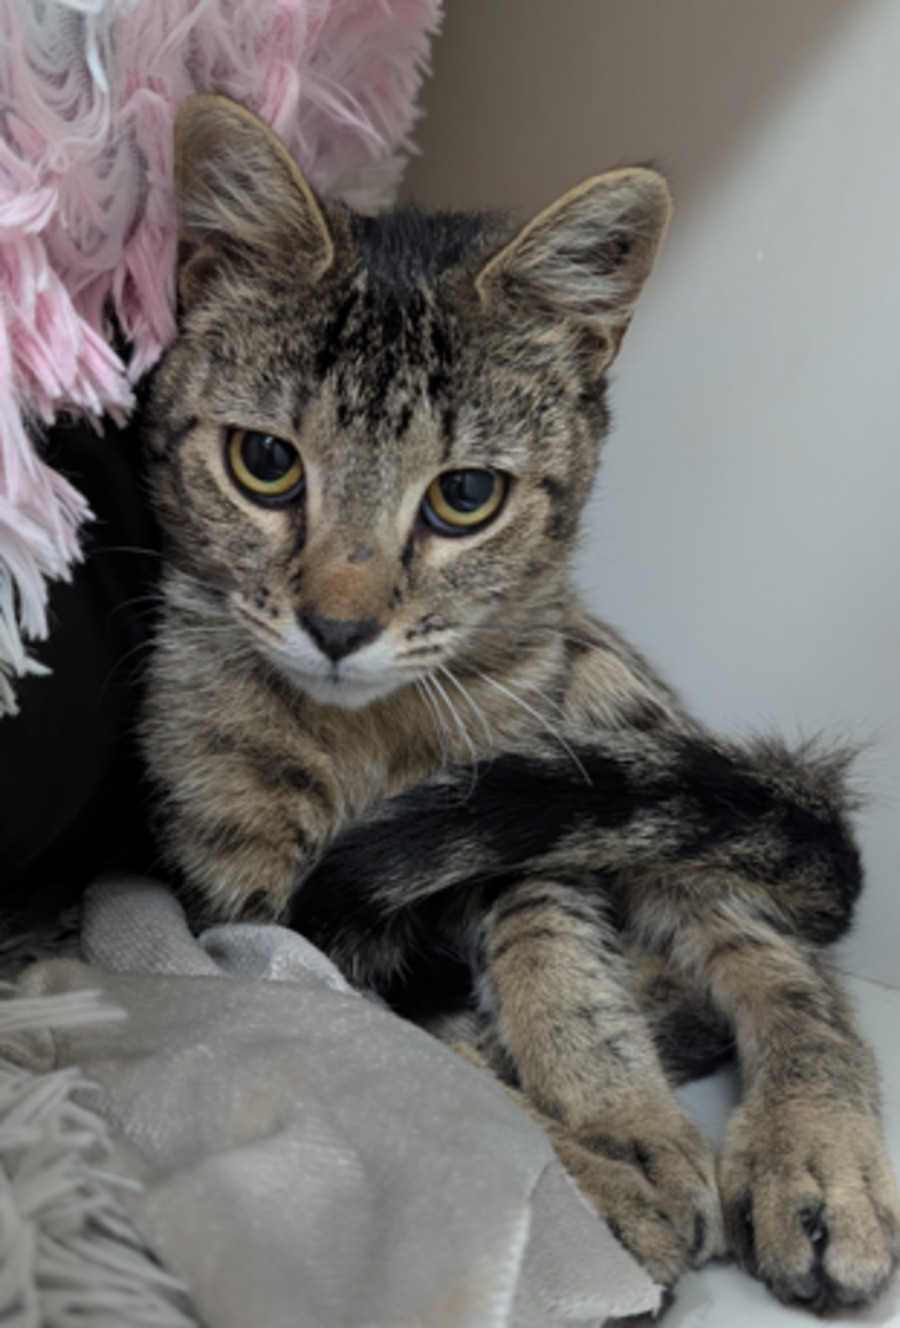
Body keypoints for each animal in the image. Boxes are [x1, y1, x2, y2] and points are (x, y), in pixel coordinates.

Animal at [140, 93, 900, 1311]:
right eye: (264, 461)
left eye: (464, 495)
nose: (339, 626)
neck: (373, 737)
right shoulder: (252, 906)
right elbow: (414, 1056)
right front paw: (594, 1172)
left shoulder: (511, 809)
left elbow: (558, 951)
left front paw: (619, 1115)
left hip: (628, 759)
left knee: (783, 955)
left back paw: (812, 1150)